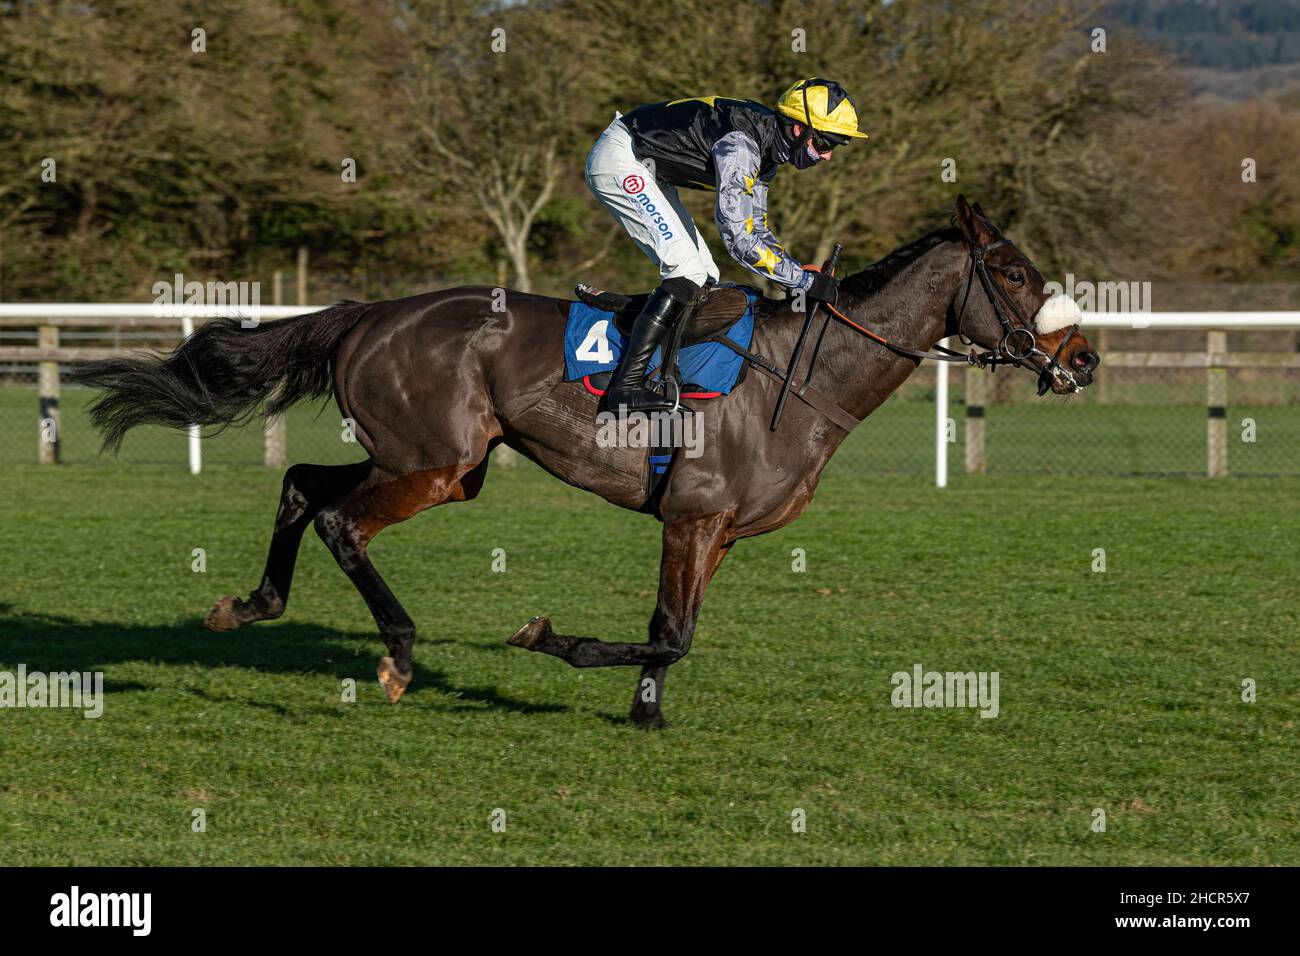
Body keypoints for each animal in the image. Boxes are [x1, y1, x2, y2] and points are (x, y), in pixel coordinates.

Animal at [73, 197, 1097, 728]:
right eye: (1013, 274)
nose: (1083, 358)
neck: (803, 378)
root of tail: (368, 314)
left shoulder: (715, 530)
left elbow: (670, 629)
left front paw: (644, 712)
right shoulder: (694, 514)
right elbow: (670, 631)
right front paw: (547, 639)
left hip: (442, 461)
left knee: (299, 489)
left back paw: (249, 604)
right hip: (434, 464)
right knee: (337, 519)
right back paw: (398, 655)